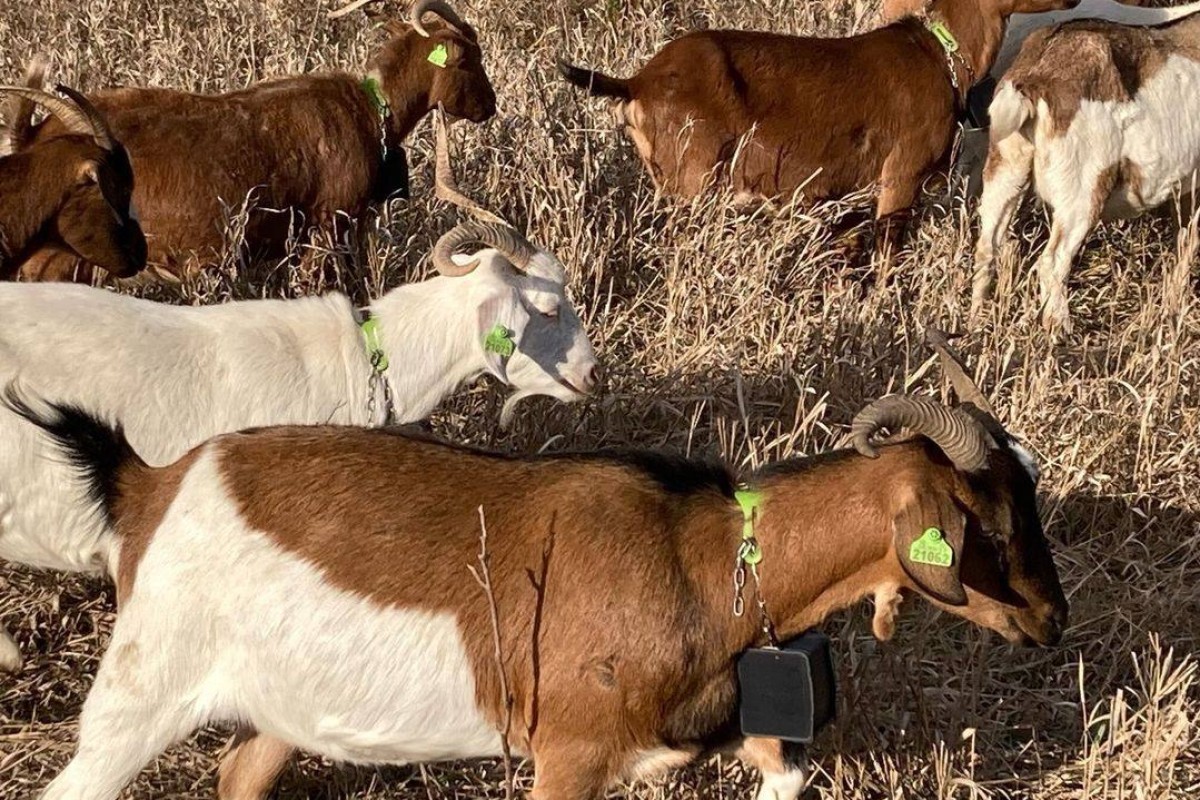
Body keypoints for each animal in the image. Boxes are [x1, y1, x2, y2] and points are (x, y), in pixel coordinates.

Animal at [14, 333, 1067, 800]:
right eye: (983, 522)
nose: (1051, 620)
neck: (704, 560)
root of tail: (153, 483)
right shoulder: (568, 753)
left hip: (277, 707)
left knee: (239, 771)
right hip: (140, 690)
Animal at [971, 10, 1200, 333]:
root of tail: (1034, 75)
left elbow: (1187, 243)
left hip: (1006, 166)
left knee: (987, 246)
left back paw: (975, 321)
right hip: (1083, 187)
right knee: (1052, 262)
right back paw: (1061, 330)